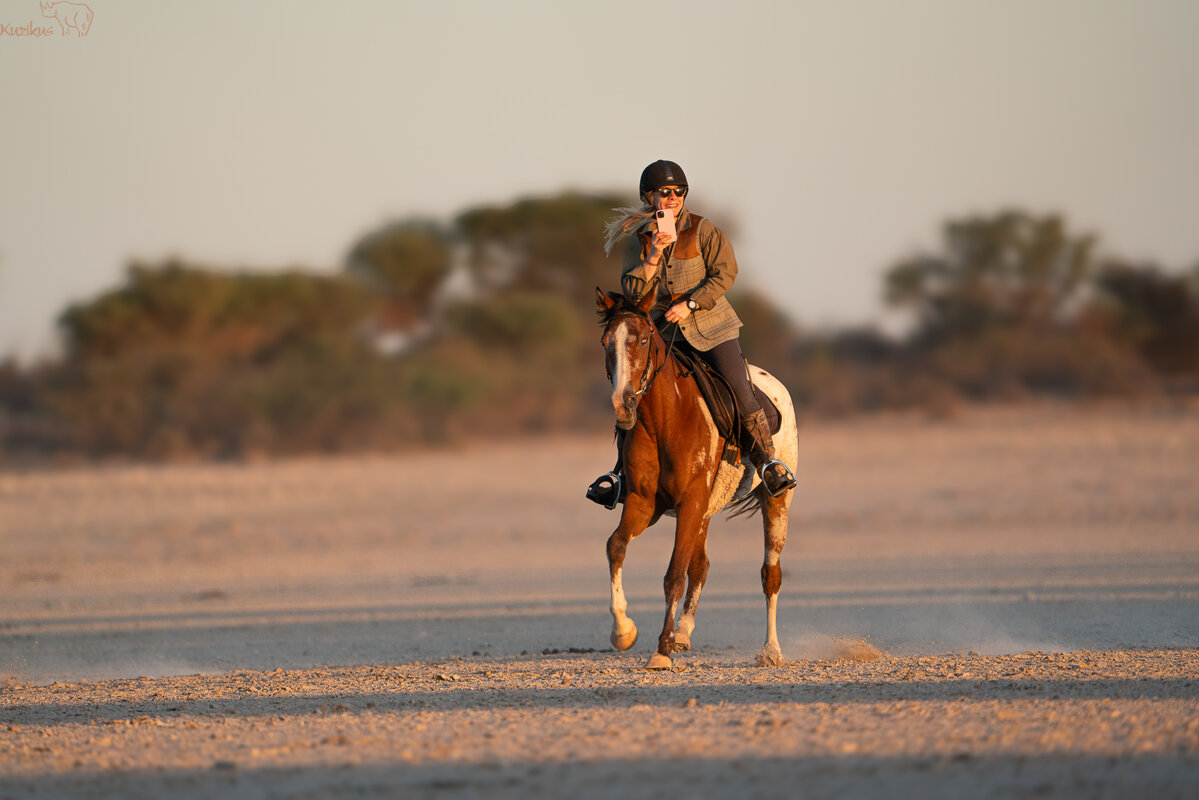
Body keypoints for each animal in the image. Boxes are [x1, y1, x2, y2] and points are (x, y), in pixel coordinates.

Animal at [596, 288, 798, 669]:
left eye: (643, 339)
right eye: (605, 343)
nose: (623, 404)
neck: (665, 419)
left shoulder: (689, 502)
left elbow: (674, 574)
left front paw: (660, 652)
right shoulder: (644, 504)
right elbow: (615, 547)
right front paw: (623, 631)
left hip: (774, 500)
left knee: (771, 574)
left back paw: (771, 650)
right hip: (704, 509)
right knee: (701, 566)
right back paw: (683, 633)